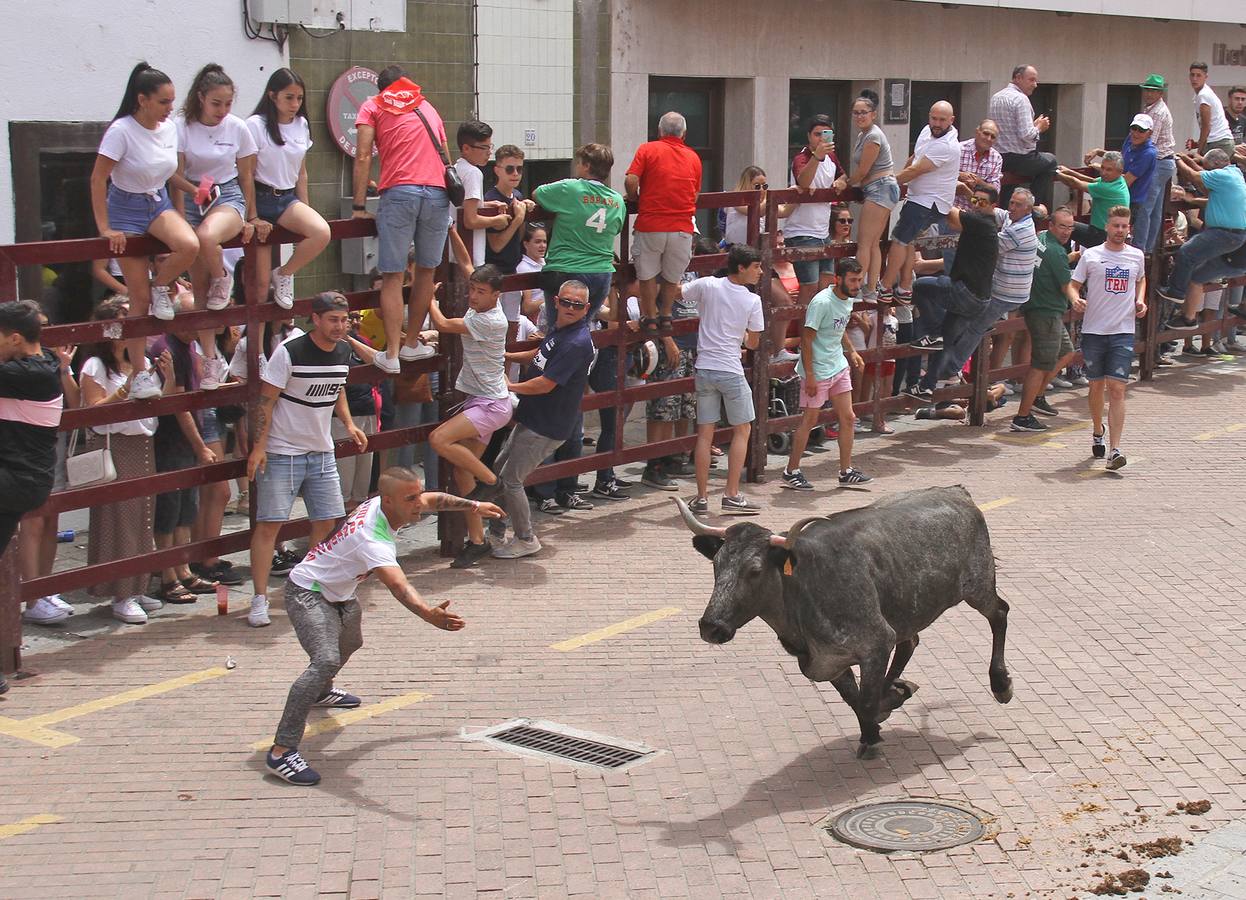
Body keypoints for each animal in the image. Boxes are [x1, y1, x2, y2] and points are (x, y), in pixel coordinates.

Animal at [682, 483, 1011, 757]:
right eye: (717, 564)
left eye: (755, 570)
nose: (711, 627)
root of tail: (957, 492)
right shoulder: (831, 661)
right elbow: (855, 699)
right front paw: (874, 727)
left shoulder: (876, 642)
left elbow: (866, 701)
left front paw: (882, 715)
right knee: (911, 641)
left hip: (978, 586)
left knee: (1000, 613)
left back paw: (1001, 684)